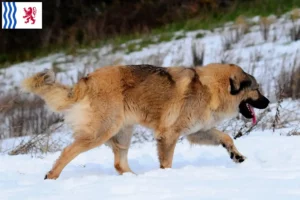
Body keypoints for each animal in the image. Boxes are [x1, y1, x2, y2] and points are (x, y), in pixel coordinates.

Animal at [21, 63, 270, 179]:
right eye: (257, 89)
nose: (268, 102)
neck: (210, 88)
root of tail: (86, 80)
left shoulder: (196, 131)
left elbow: (226, 137)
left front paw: (236, 155)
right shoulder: (169, 135)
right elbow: (167, 161)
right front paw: (166, 177)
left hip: (123, 132)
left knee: (119, 164)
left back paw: (135, 179)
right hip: (101, 131)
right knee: (67, 152)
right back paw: (51, 176)